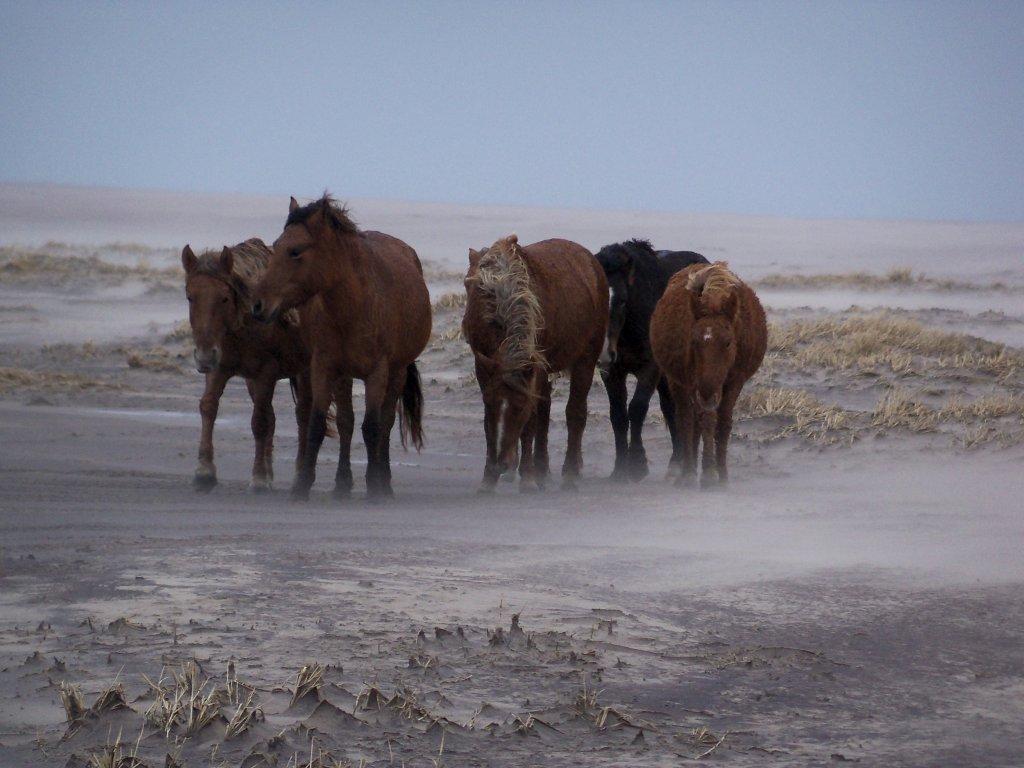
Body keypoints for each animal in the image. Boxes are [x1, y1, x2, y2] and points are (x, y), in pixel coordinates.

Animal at [181, 238, 312, 492]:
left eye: (224, 298)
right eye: (190, 297)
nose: (203, 356)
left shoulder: (265, 374)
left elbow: (259, 421)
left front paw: (258, 477)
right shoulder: (219, 369)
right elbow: (208, 407)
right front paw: (204, 470)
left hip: (306, 371)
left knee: (303, 415)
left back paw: (300, 473)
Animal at [251, 195, 431, 500]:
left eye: (295, 251)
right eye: (275, 246)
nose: (258, 304)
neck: (354, 306)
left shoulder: (378, 373)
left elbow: (372, 427)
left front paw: (374, 486)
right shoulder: (324, 367)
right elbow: (318, 425)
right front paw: (302, 485)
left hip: (396, 372)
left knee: (385, 424)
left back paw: (385, 482)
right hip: (344, 376)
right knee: (347, 422)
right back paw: (342, 484)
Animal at [462, 235, 607, 492]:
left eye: (519, 408)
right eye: (492, 404)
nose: (502, 464)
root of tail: (591, 261)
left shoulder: (534, 369)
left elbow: (531, 422)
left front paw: (527, 476)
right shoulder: (485, 366)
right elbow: (495, 422)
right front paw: (488, 478)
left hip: (586, 360)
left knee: (576, 412)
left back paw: (569, 473)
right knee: (546, 409)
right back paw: (543, 470)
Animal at [594, 239, 708, 481]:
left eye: (623, 300)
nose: (605, 353)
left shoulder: (650, 367)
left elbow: (637, 409)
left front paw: (638, 465)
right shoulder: (611, 372)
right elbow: (618, 415)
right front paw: (620, 469)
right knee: (672, 407)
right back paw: (677, 461)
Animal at [649, 261, 766, 487]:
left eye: (728, 342)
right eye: (693, 341)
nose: (707, 394)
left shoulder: (734, 382)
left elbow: (723, 422)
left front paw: (721, 474)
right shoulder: (693, 383)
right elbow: (704, 419)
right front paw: (707, 473)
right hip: (679, 383)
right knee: (686, 418)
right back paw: (687, 471)